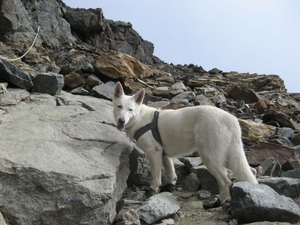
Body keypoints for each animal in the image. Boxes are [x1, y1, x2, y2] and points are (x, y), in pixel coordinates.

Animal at [111, 81, 256, 205]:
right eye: (119, 106)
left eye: (130, 110)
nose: (121, 121)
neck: (140, 118)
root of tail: (232, 119)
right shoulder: (164, 155)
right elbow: (172, 174)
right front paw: (170, 187)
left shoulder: (154, 153)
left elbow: (156, 177)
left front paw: (153, 190)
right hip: (227, 156)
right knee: (250, 171)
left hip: (209, 157)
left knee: (225, 181)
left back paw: (219, 202)